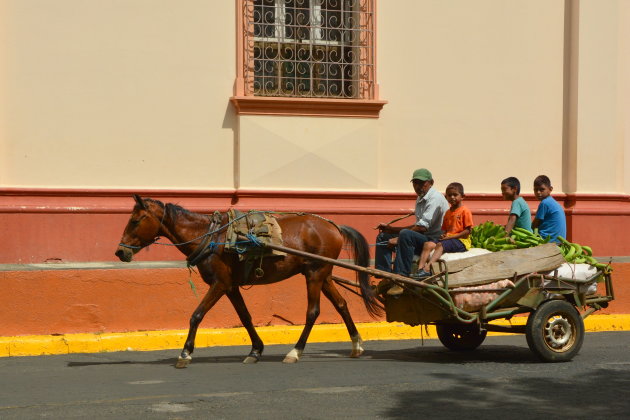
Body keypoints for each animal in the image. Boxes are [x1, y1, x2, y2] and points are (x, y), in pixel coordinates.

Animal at [115, 195, 380, 366]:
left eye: (135, 220)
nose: (120, 252)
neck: (209, 238)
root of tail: (335, 227)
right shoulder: (231, 286)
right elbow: (245, 317)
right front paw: (255, 350)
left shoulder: (220, 283)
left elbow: (197, 315)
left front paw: (185, 353)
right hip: (322, 274)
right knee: (341, 304)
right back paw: (356, 345)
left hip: (315, 273)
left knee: (313, 312)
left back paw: (295, 351)